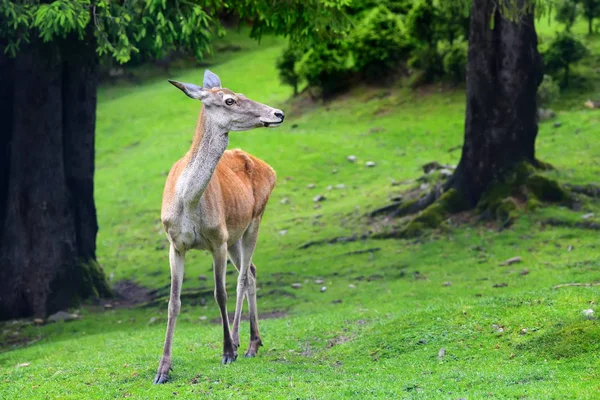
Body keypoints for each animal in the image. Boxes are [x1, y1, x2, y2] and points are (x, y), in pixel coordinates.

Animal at [155, 69, 286, 384]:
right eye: (230, 100)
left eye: (239, 94)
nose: (278, 113)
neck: (188, 201)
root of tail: (270, 169)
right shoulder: (174, 244)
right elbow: (173, 302)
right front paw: (162, 368)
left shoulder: (217, 239)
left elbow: (220, 293)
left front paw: (226, 351)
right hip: (236, 236)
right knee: (251, 272)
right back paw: (252, 342)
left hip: (254, 221)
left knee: (243, 278)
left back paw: (244, 344)